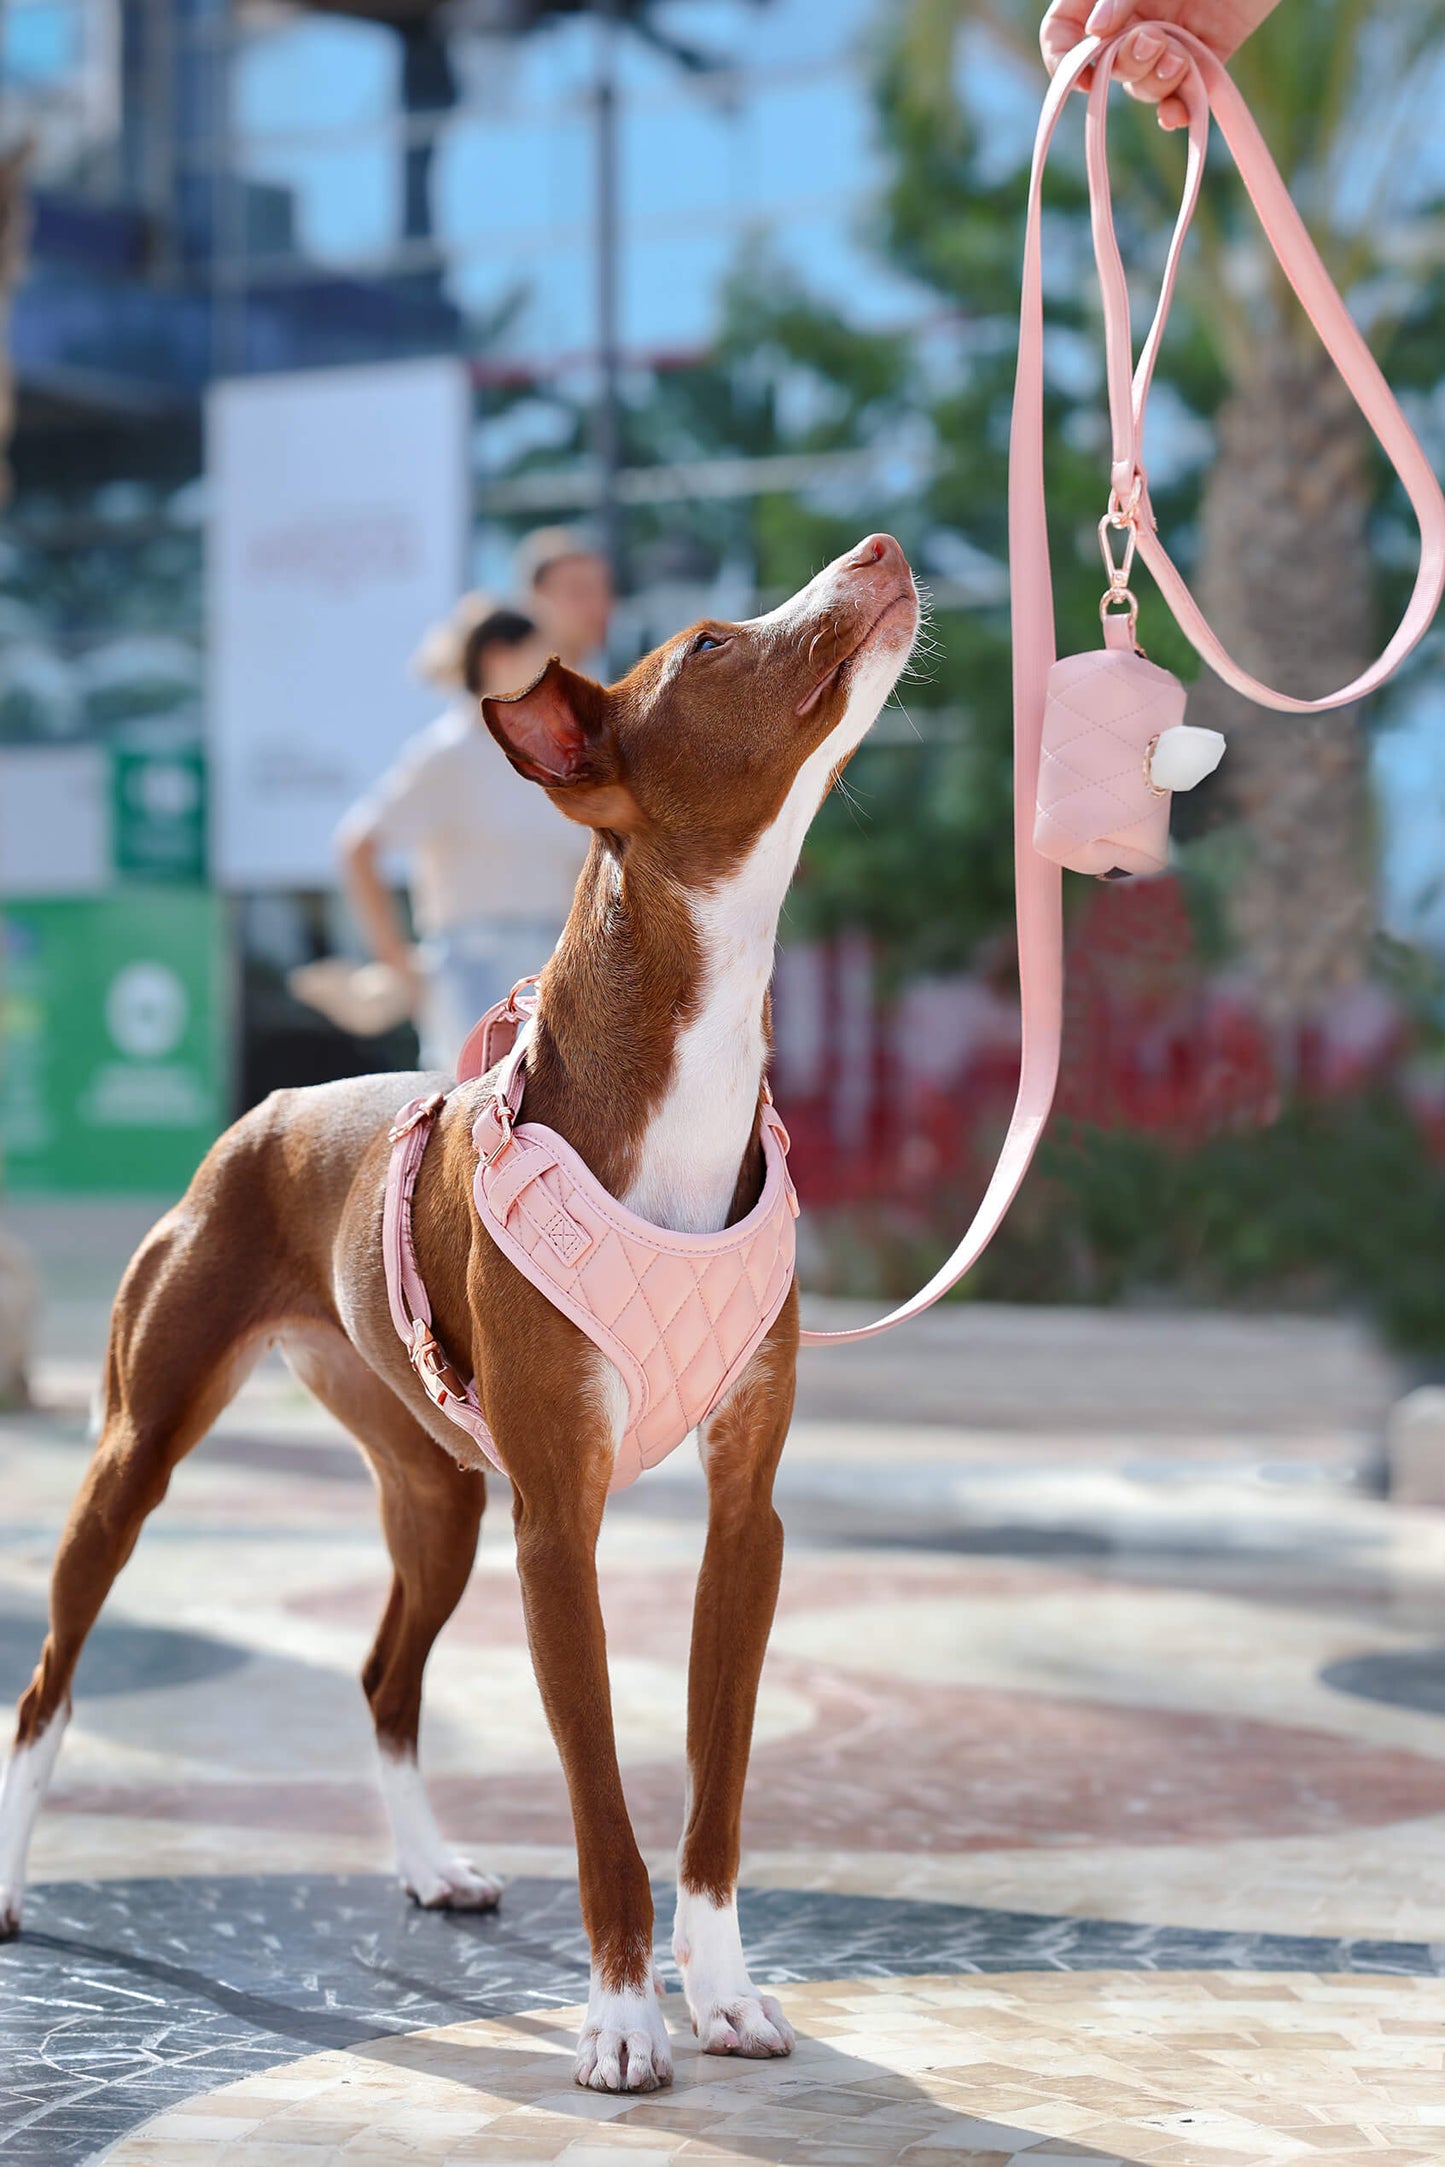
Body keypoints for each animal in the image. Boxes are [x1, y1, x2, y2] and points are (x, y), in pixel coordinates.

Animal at [0, 533, 922, 2088]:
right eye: (712, 644)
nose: (878, 547)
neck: (687, 1077)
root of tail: (269, 1109)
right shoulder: (559, 1523)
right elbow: (603, 1799)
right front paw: (621, 2017)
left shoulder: (746, 1521)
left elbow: (715, 1795)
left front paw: (721, 1991)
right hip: (135, 1454)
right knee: (49, 1681)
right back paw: (9, 1880)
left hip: (435, 1494)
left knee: (382, 1677)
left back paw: (429, 1866)